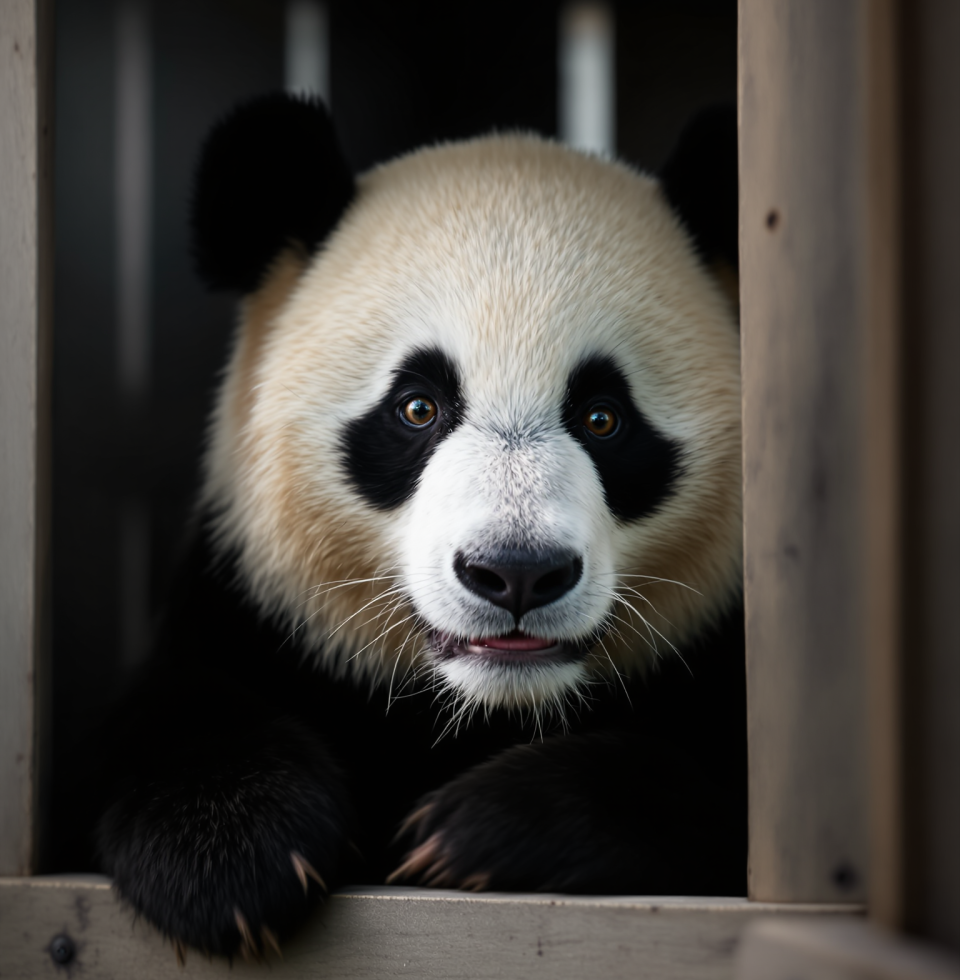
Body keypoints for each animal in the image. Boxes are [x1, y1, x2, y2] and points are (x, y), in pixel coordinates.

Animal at [92, 94, 743, 959]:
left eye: (604, 416)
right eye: (417, 407)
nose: (516, 573)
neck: (482, 708)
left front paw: (487, 830)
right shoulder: (248, 604)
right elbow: (174, 718)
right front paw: (230, 858)